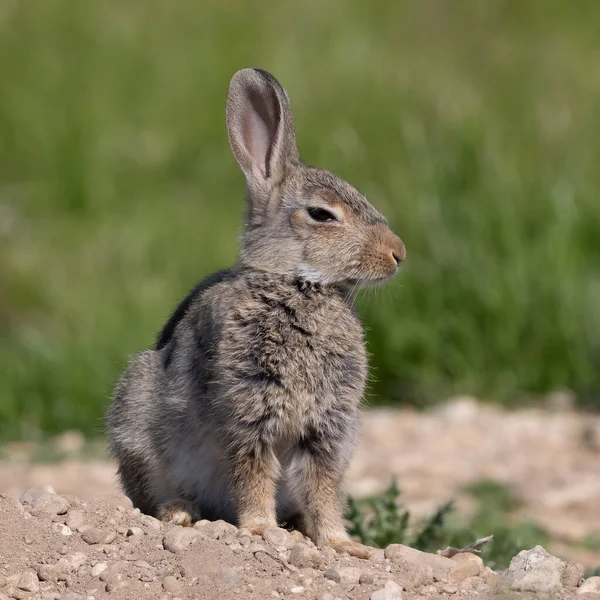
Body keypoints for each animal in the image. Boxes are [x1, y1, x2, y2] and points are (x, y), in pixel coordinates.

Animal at [108, 68, 408, 560]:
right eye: (322, 214)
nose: (398, 254)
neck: (298, 285)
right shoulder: (249, 412)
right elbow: (252, 473)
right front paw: (259, 531)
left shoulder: (328, 428)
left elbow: (323, 486)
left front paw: (341, 543)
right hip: (137, 430)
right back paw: (180, 512)